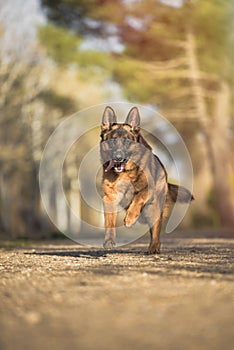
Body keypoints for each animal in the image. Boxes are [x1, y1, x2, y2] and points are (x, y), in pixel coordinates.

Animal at [99, 105, 193, 253]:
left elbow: (138, 197)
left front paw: (130, 218)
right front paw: (109, 240)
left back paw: (154, 247)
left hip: (153, 209)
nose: (118, 158)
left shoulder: (148, 189)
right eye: (112, 141)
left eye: (127, 141)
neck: (125, 173)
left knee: (155, 230)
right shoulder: (109, 197)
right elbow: (109, 221)